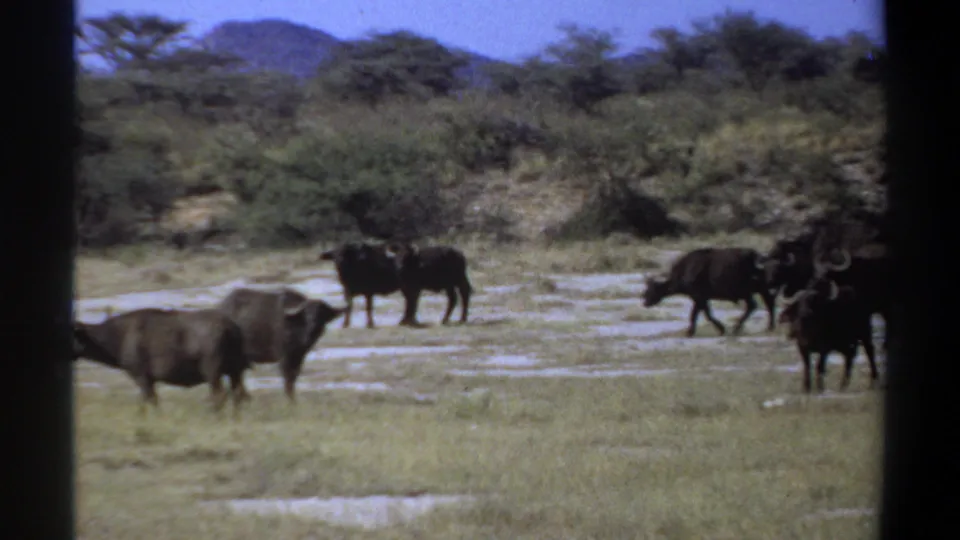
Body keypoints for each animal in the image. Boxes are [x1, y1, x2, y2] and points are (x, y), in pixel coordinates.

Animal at [72, 308, 251, 412]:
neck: (121, 334)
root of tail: (230, 327)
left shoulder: (142, 377)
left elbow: (150, 401)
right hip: (235, 371)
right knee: (238, 394)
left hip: (212, 372)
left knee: (219, 395)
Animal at [642, 247, 776, 337]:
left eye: (650, 290)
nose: (645, 303)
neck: (685, 271)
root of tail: (758, 258)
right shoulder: (701, 298)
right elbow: (702, 313)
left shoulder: (699, 297)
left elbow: (701, 314)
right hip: (760, 290)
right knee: (768, 303)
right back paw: (769, 326)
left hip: (747, 292)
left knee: (754, 305)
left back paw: (737, 328)